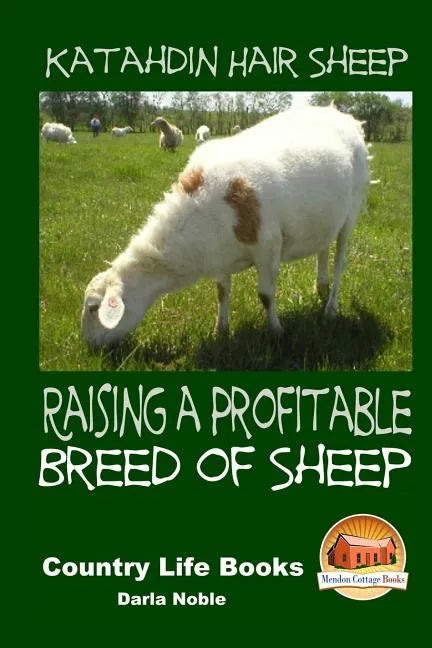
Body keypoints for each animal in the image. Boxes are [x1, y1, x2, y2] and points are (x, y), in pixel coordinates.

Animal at [81, 105, 369, 350]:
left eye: (94, 308)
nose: (89, 347)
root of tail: (341, 115)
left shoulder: (268, 247)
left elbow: (266, 295)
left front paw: (276, 331)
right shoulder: (219, 257)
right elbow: (222, 292)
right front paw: (221, 330)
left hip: (352, 210)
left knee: (340, 260)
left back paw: (330, 308)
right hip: (326, 219)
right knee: (323, 250)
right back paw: (320, 287)